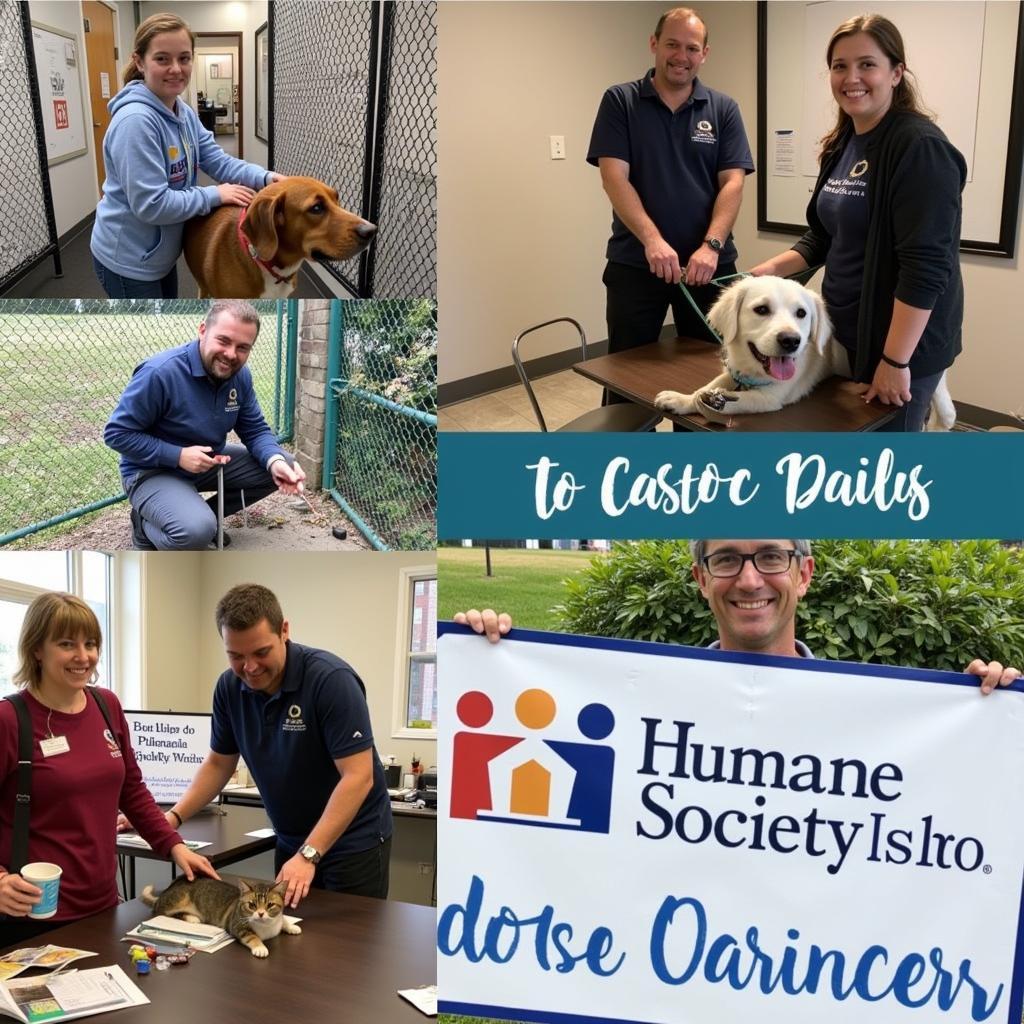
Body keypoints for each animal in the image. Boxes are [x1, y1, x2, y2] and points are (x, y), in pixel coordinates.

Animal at [651, 276, 954, 428]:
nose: (791, 341)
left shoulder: (771, 398)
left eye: (801, 313)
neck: (753, 370)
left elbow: (738, 401)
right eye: (761, 309)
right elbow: (706, 388)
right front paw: (681, 399)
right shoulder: (734, 372)